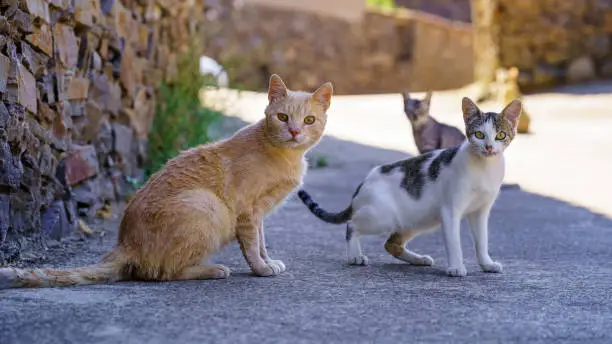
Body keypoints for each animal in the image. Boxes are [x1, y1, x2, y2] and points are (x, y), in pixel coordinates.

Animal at [1, 74, 334, 288]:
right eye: (282, 117)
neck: (284, 156)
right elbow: (252, 246)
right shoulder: (247, 211)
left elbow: (262, 242)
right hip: (208, 206)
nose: (294, 131)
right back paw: (213, 269)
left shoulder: (259, 213)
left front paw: (268, 261)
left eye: (309, 120)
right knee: (163, 273)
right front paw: (261, 269)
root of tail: (126, 243)